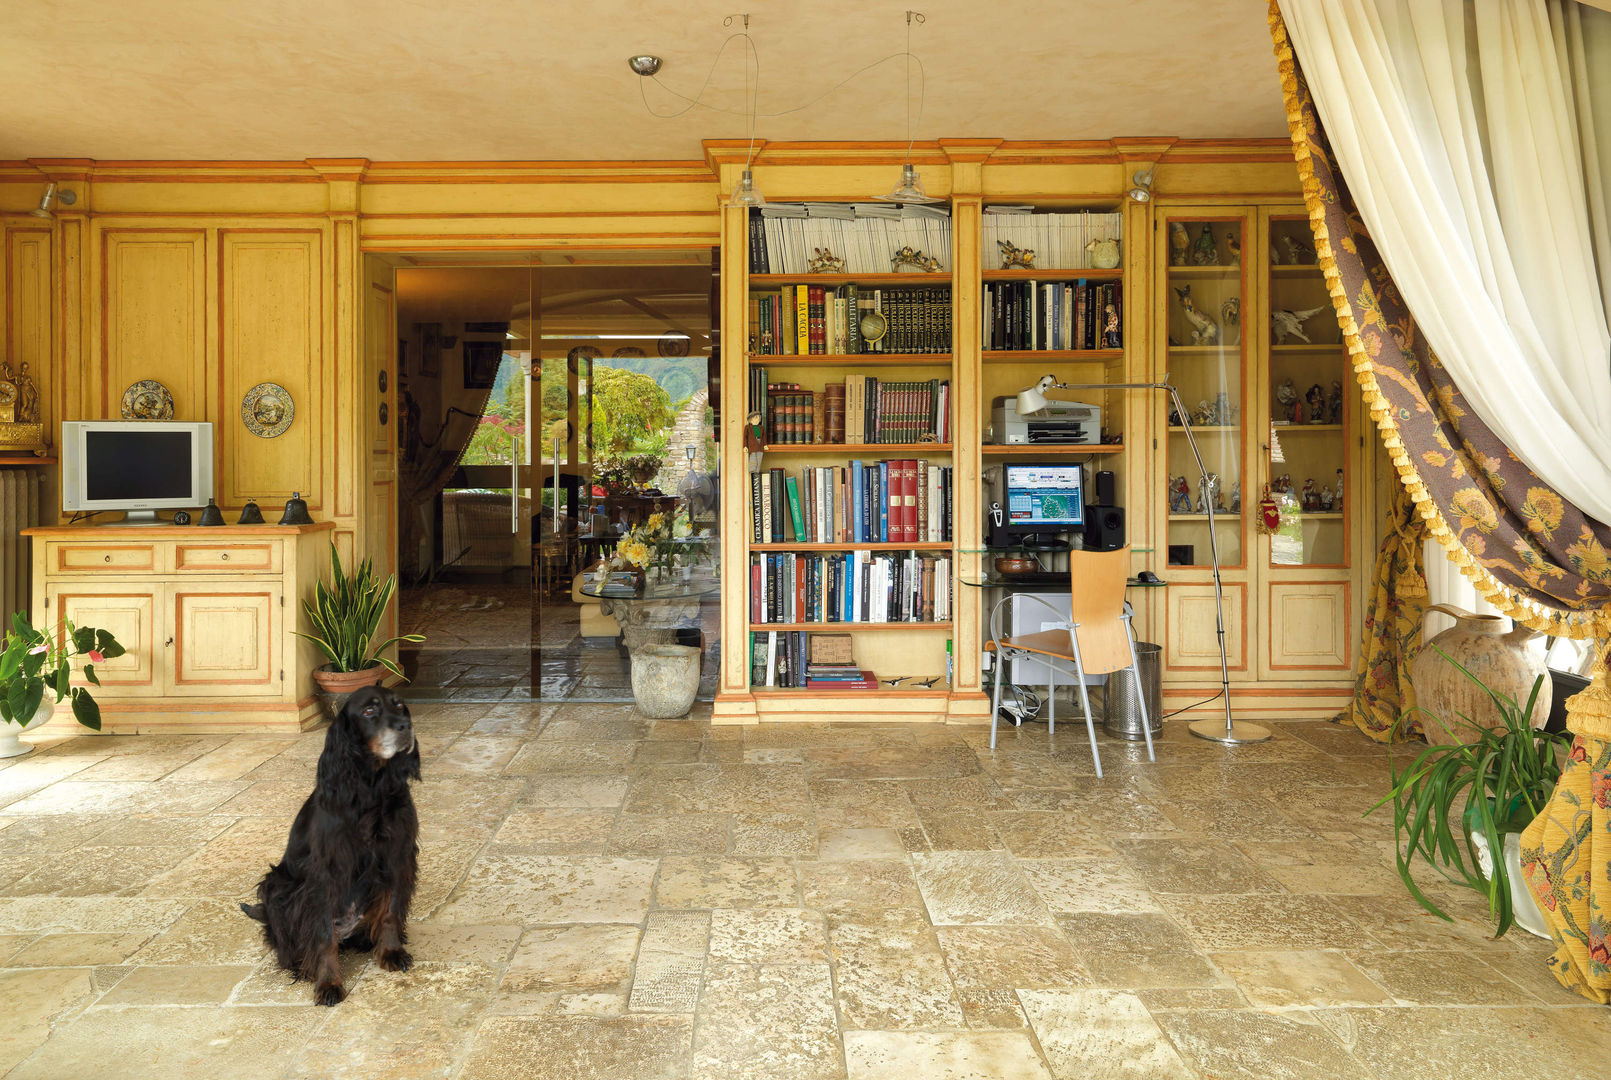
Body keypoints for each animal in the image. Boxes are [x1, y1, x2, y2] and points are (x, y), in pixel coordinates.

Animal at [240, 686, 422, 1005]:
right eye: (369, 711)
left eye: (399, 705)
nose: (405, 726)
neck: (370, 789)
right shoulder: (327, 872)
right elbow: (324, 937)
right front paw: (328, 983)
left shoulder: (398, 855)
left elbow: (390, 912)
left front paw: (391, 951)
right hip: (277, 885)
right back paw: (303, 965)